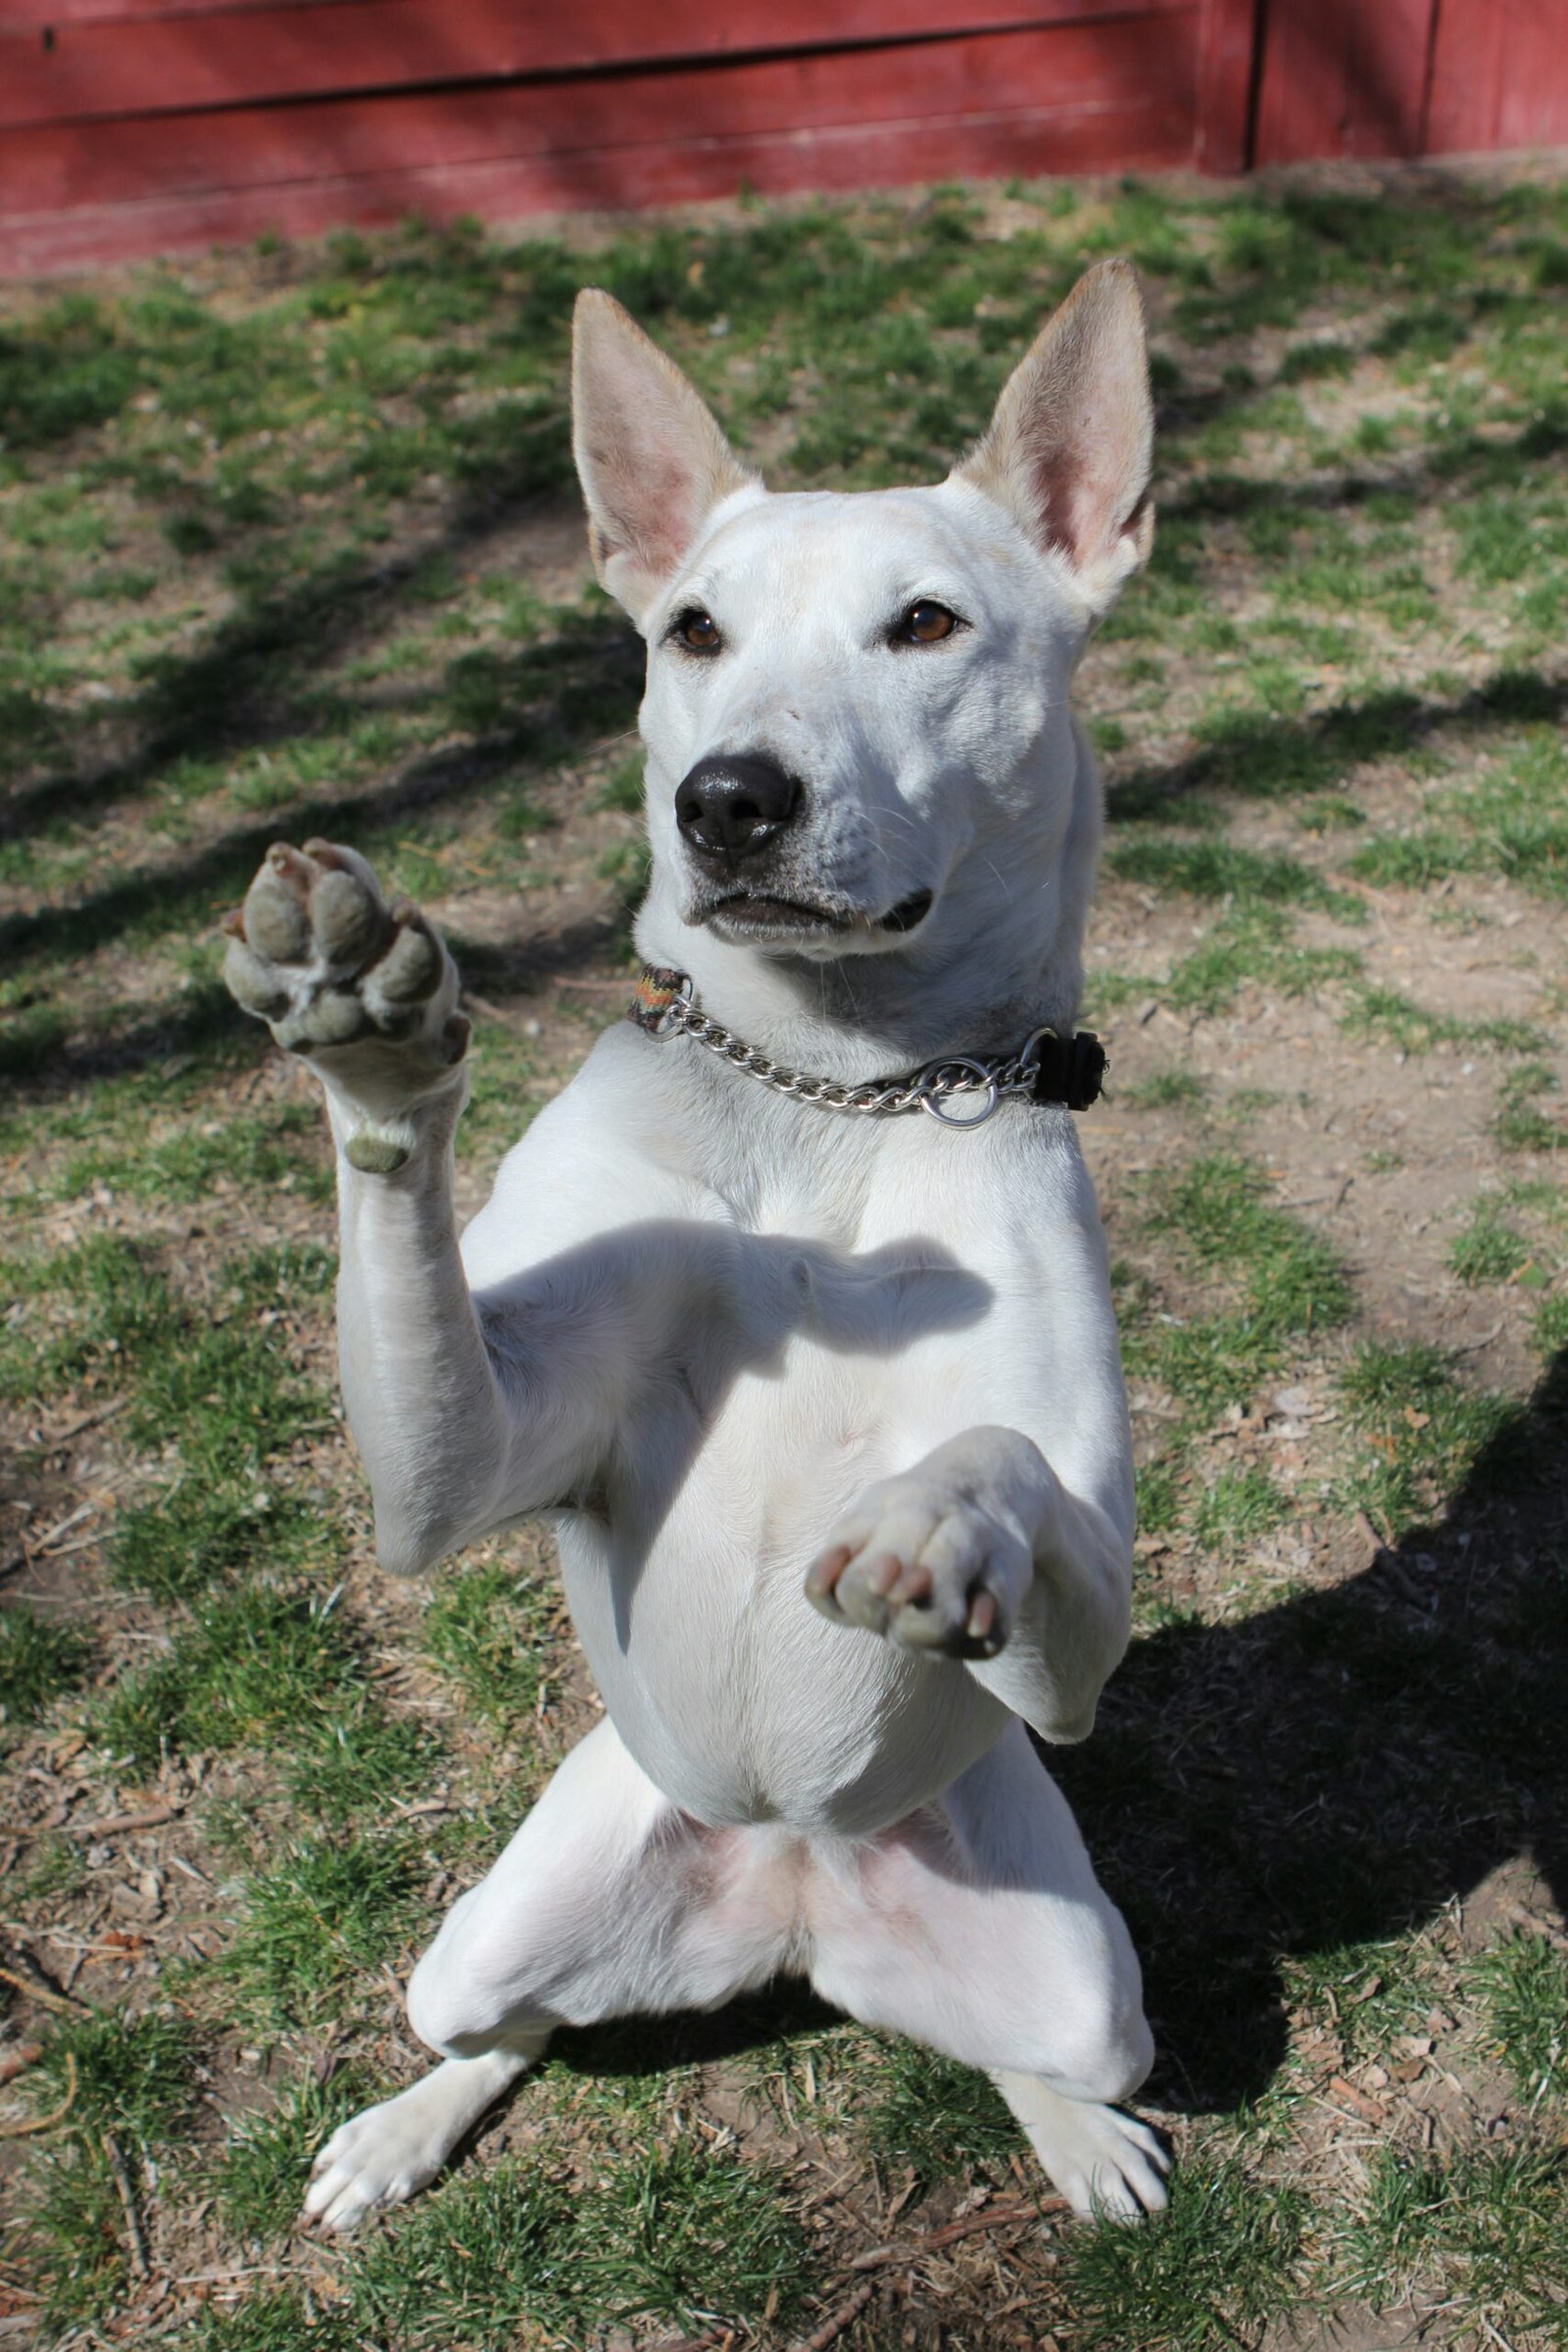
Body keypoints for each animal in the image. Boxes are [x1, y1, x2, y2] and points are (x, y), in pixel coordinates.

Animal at [226, 257, 1170, 2238]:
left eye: (926, 623)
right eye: (690, 632)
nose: (727, 802)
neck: (835, 1099)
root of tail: (797, 1884)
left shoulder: (1084, 1642)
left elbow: (1011, 1475)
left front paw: (930, 1520)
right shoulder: (465, 1458)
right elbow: (418, 1281)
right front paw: (371, 1041)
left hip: (1086, 1976)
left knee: (1037, 2050)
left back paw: (1080, 2139)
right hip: (488, 1928)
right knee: (503, 2028)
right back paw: (398, 2131)